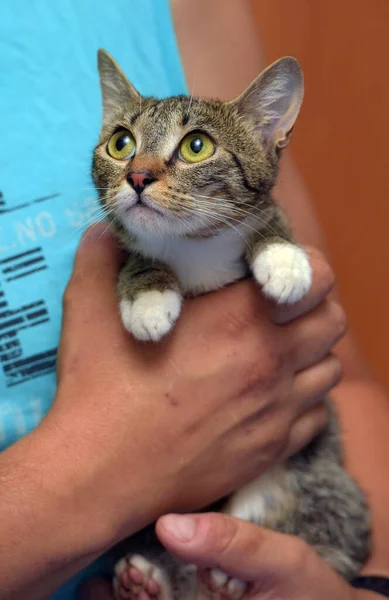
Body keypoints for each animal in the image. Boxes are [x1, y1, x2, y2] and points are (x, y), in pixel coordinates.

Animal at [91, 50, 370, 600]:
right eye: (121, 143)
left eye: (196, 146)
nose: (137, 177)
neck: (194, 248)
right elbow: (135, 255)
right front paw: (148, 296)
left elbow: (269, 219)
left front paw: (283, 260)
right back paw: (146, 580)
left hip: (330, 484)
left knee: (333, 540)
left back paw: (228, 575)